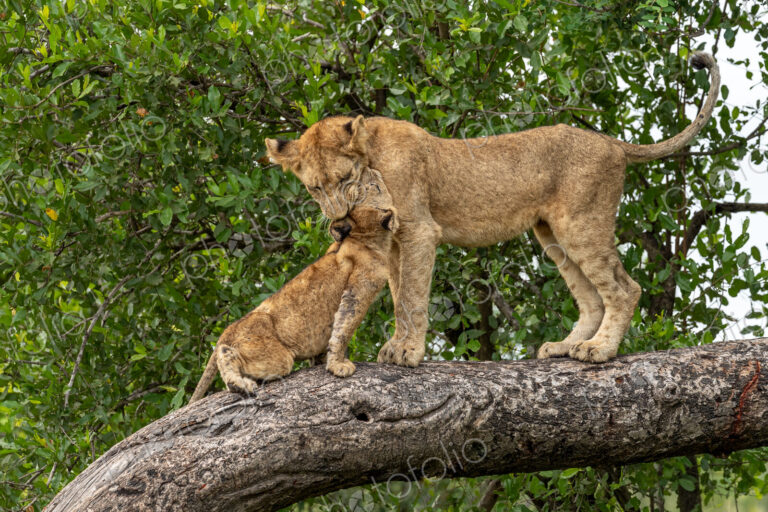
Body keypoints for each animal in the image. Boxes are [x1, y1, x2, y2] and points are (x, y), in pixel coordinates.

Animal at [190, 204, 397, 402]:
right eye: (375, 207)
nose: (389, 208)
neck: (366, 240)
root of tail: (229, 329)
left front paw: (323, 360)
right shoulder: (358, 291)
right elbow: (344, 328)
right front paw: (338, 366)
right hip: (278, 358)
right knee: (226, 353)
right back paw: (239, 385)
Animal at [265, 52, 719, 365]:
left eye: (345, 180)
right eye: (315, 188)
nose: (338, 220)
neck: (371, 156)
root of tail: (612, 142)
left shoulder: (419, 230)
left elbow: (411, 296)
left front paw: (409, 352)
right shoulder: (392, 240)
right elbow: (396, 295)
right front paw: (396, 345)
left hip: (581, 224)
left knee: (625, 289)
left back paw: (599, 350)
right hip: (552, 234)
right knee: (591, 298)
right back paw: (565, 346)